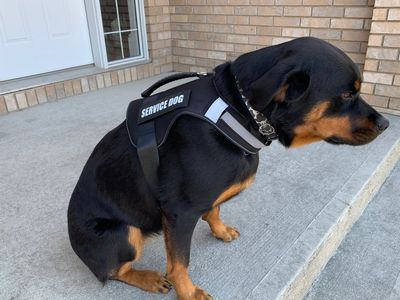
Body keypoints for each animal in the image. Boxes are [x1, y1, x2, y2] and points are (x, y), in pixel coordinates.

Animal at [67, 38, 390, 300]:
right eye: (347, 95)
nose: (386, 124)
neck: (238, 110)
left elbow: (214, 209)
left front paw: (220, 230)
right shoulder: (179, 212)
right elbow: (179, 262)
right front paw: (189, 292)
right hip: (125, 233)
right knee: (114, 271)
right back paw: (145, 277)